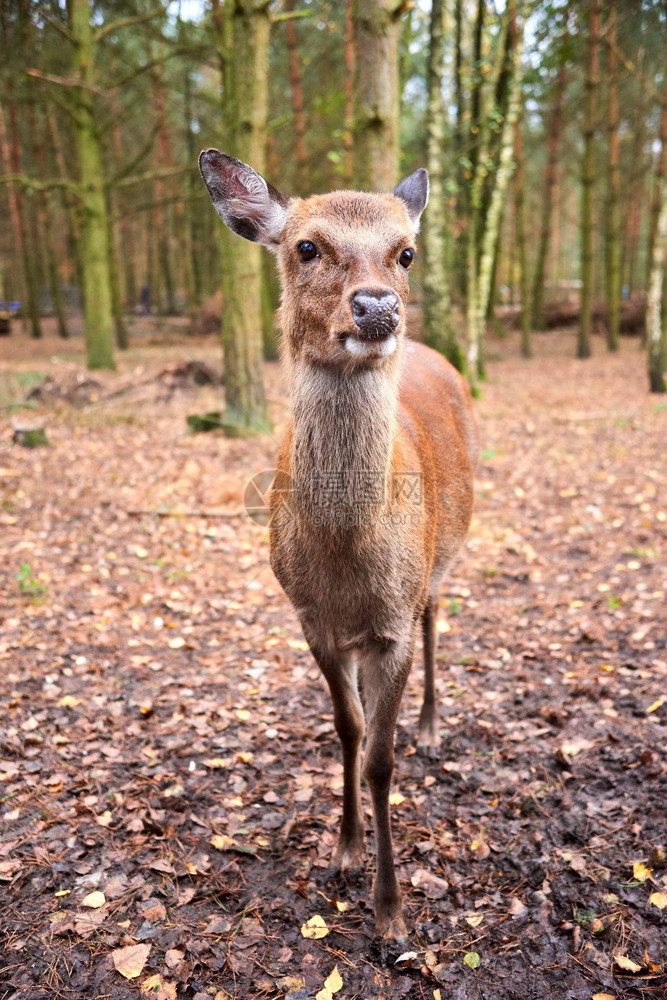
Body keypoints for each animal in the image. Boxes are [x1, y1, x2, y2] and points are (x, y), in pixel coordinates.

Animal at [198, 150, 480, 952]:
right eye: (305, 246)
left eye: (406, 251)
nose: (378, 307)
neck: (348, 562)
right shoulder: (310, 620)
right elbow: (347, 730)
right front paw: (344, 851)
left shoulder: (390, 622)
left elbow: (382, 757)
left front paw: (390, 913)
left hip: (444, 557)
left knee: (436, 616)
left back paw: (432, 725)